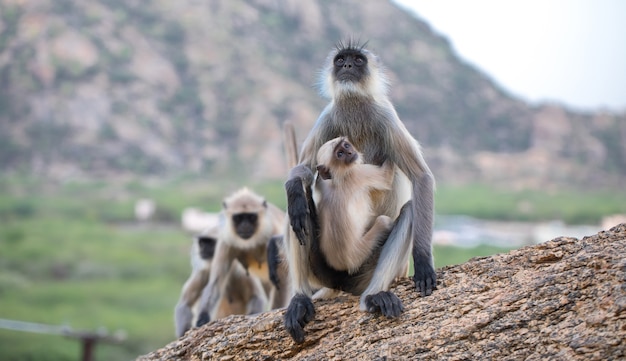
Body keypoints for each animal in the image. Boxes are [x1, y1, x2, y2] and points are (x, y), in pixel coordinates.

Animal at [195, 188, 288, 326]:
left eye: (251, 217)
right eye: (238, 218)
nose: (245, 226)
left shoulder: (273, 232)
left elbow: (281, 276)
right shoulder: (226, 241)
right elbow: (216, 281)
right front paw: (202, 318)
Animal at [282, 40, 434, 342]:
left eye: (358, 60)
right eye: (341, 60)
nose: (349, 66)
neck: (353, 104)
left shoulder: (386, 115)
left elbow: (421, 177)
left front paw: (423, 261)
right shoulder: (328, 116)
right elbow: (303, 169)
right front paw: (294, 186)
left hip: (367, 271)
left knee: (409, 211)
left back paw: (372, 298)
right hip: (324, 272)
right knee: (296, 213)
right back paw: (300, 299)